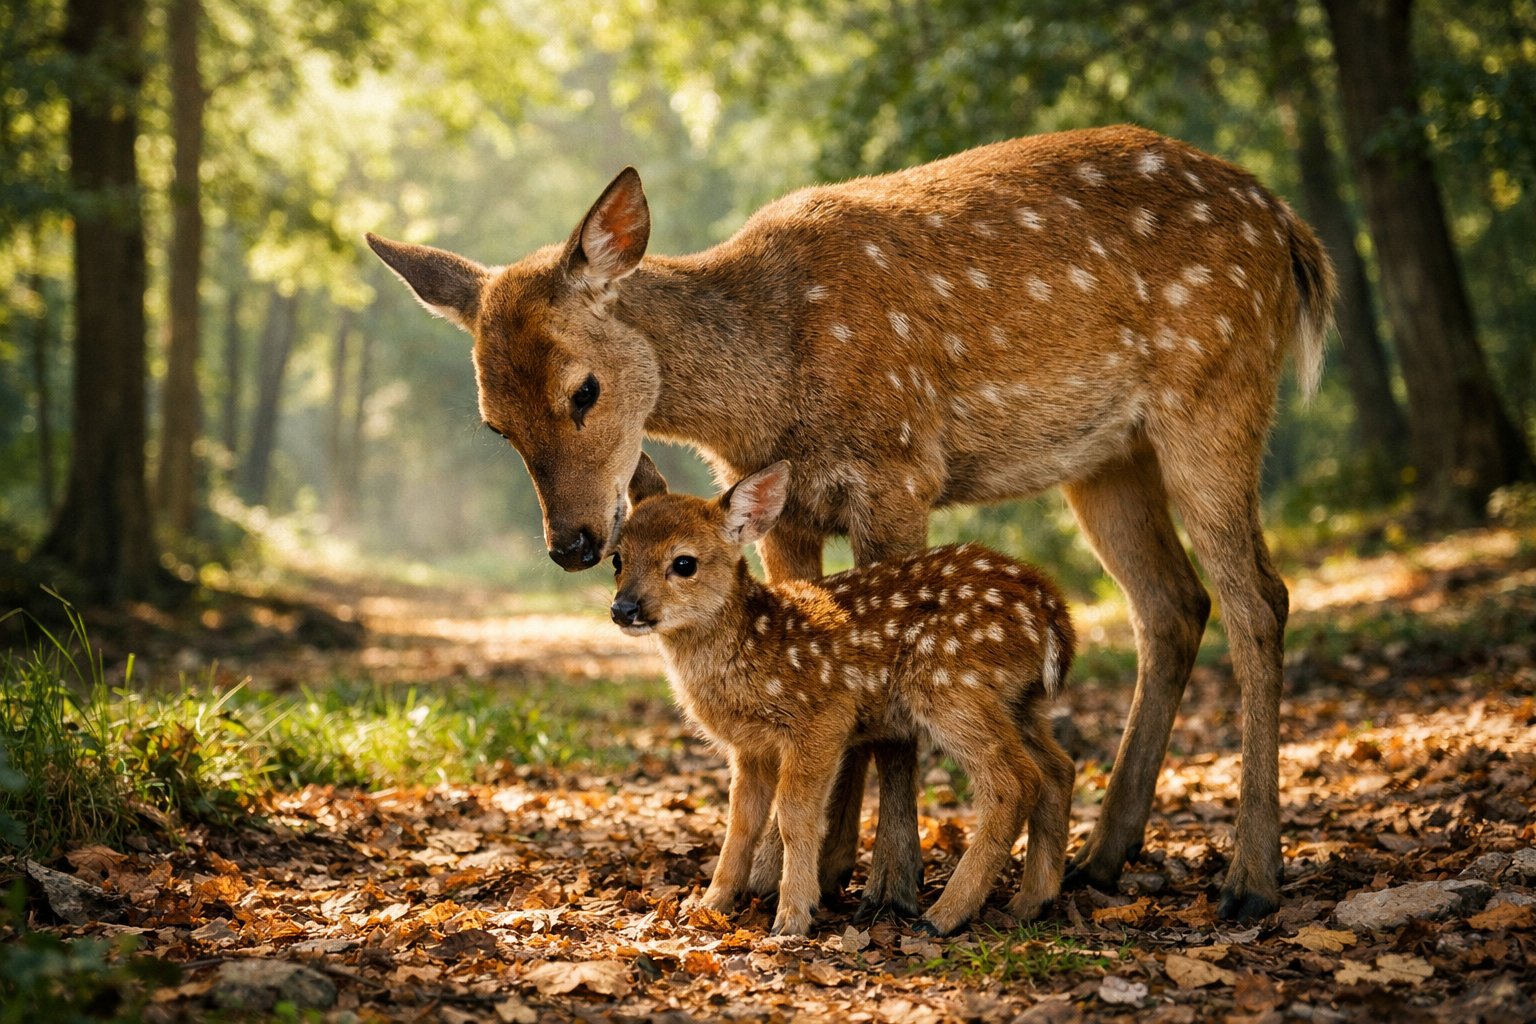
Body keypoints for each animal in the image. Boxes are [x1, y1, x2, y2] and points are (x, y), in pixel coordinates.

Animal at [610, 460, 1077, 936]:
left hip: (951, 687)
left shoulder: (822, 717)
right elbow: (740, 822)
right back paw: (1030, 901)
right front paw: (709, 905)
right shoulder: (749, 747)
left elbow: (795, 816)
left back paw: (944, 915)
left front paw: (792, 917)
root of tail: (1053, 613)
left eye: (684, 563)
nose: (624, 608)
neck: (752, 646)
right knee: (1058, 770)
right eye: (617, 558)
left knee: (1015, 782)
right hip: (1017, 702)